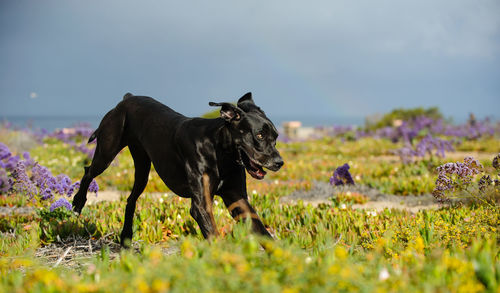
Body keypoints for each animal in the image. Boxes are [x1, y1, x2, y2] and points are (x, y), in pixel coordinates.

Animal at [72, 92, 284, 245]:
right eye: (259, 135)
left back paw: (126, 237)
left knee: (131, 199)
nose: (279, 162)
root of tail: (127, 98)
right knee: (88, 171)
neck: (221, 153)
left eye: (276, 136)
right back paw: (78, 202)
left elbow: (262, 231)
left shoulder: (237, 198)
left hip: (142, 169)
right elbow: (213, 233)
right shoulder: (201, 205)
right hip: (107, 152)